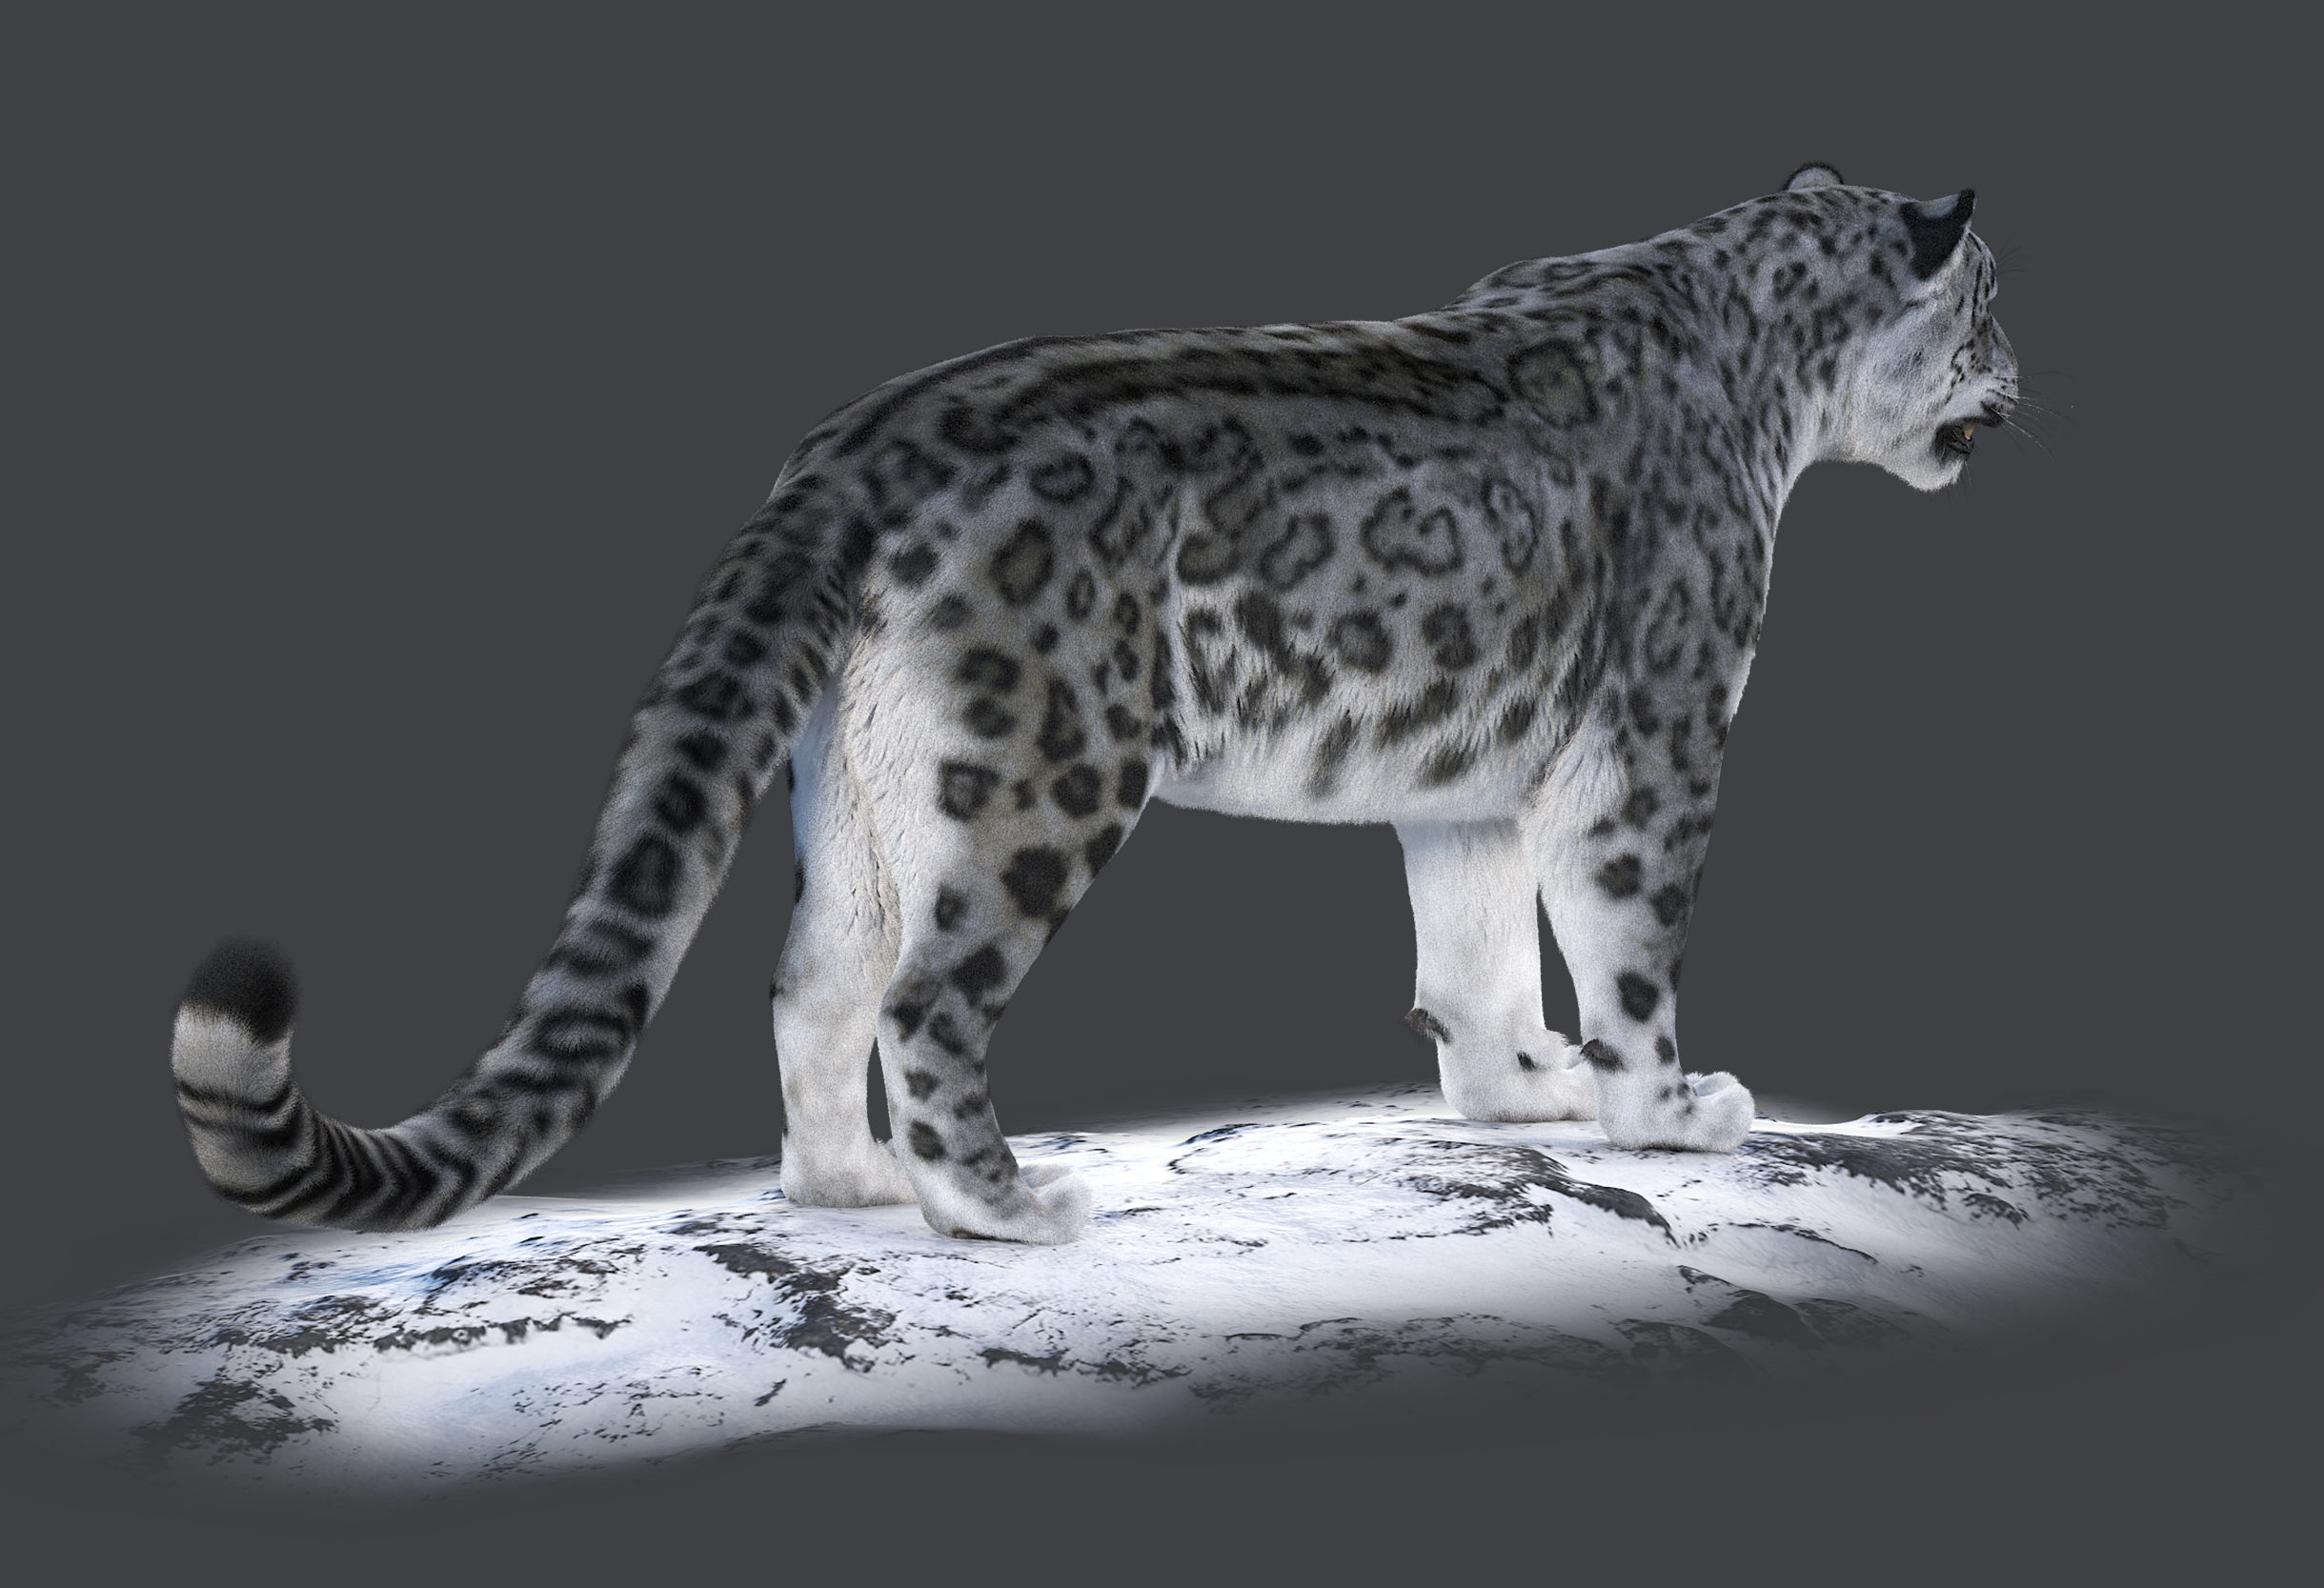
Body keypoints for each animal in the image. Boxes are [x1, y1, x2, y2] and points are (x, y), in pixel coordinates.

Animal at [170, 163, 2017, 1245]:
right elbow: (1627, 941)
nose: (2026, 383)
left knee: (815, 974)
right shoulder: (1651, 738)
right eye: (1992, 302)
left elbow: (1475, 947)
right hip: (1043, 768)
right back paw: (1003, 1203)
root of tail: (853, 445)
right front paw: (1665, 1107)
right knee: (928, 994)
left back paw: (847, 1183)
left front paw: (1521, 1089)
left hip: (862, 780)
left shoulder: (1471, 777)